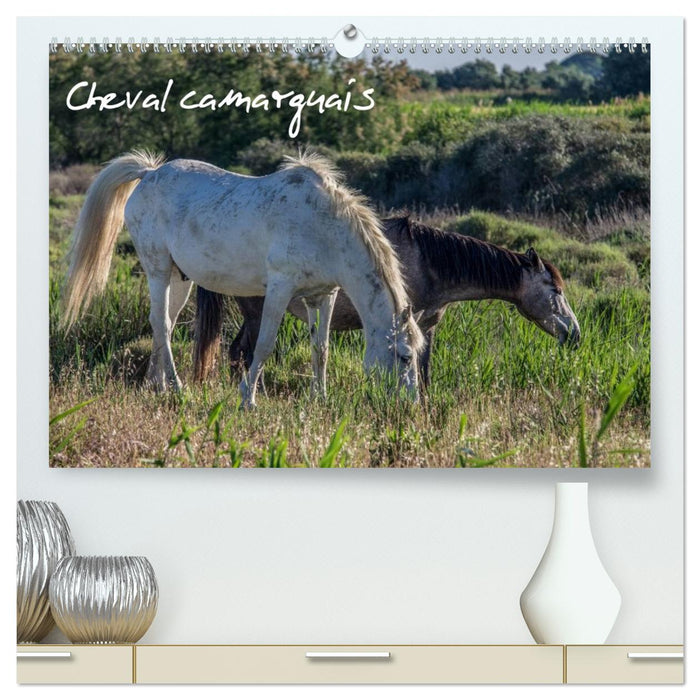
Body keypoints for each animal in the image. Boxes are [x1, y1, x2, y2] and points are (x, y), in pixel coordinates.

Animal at [62, 151, 424, 407]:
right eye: (405, 356)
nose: (411, 404)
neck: (323, 225)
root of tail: (149, 173)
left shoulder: (323, 295)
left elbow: (320, 348)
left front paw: (318, 398)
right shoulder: (279, 289)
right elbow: (264, 345)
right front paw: (247, 399)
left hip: (180, 279)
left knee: (162, 323)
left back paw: (157, 385)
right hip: (157, 269)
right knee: (162, 325)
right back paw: (177, 389)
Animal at [192, 216, 580, 387]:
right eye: (555, 290)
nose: (575, 334)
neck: (428, 260)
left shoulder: (427, 327)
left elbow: (424, 370)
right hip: (258, 311)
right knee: (243, 354)